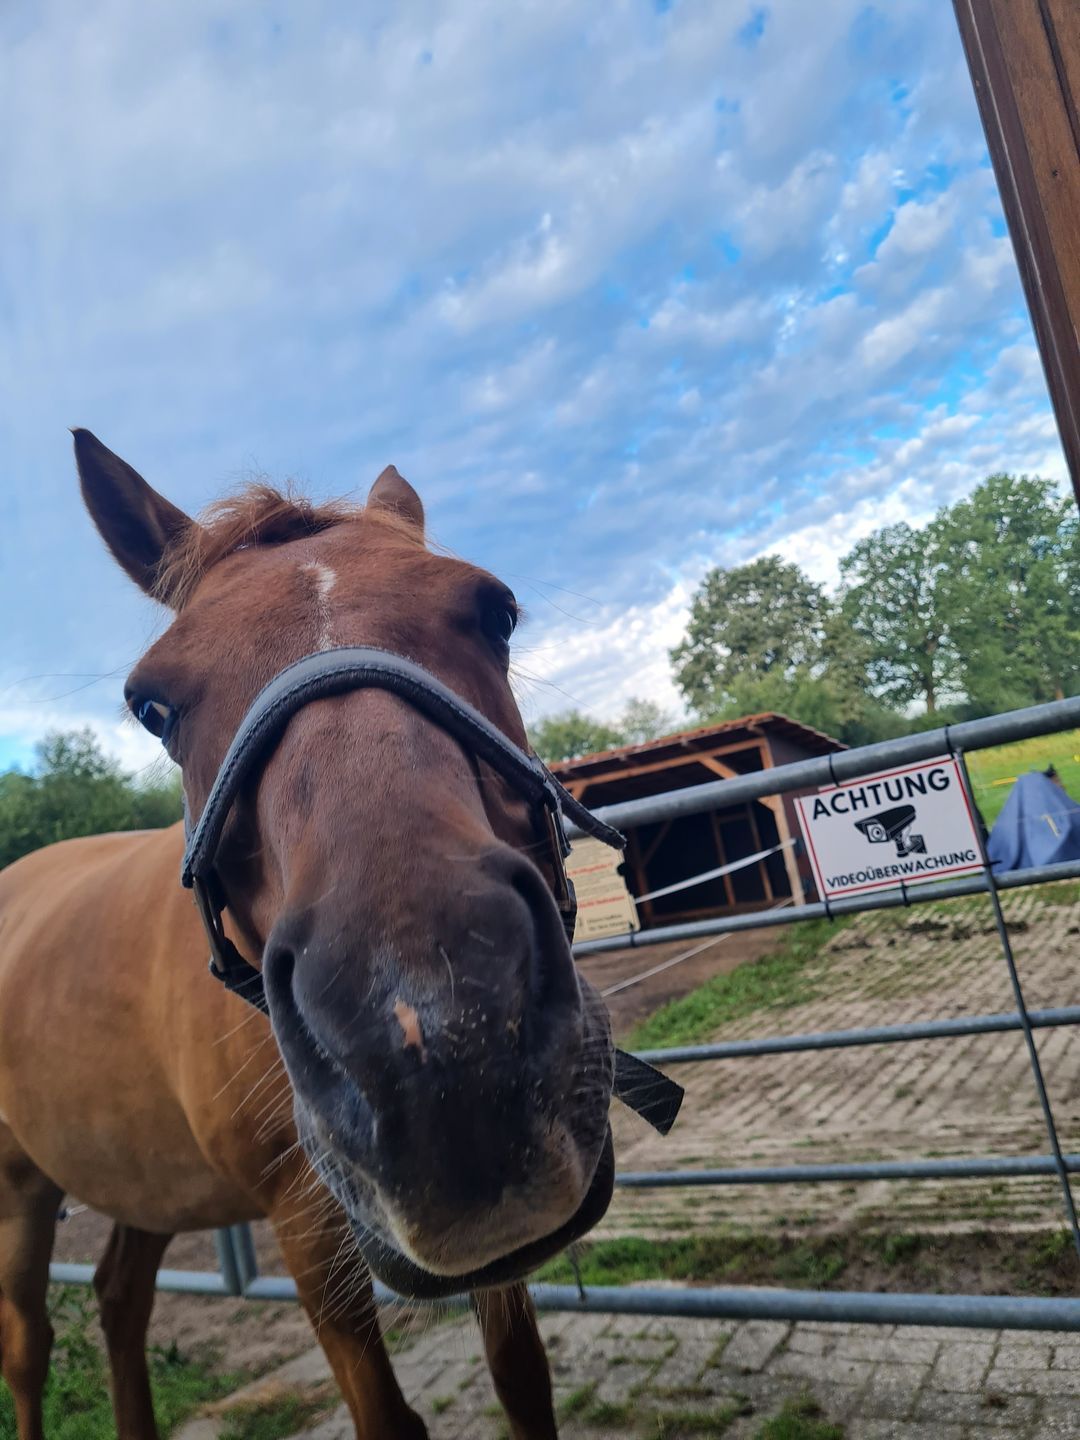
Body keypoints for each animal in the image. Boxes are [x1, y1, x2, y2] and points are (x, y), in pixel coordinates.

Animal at [0, 430, 620, 1440]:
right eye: (151, 706)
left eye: (496, 613)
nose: (442, 1035)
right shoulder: (307, 1227)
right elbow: (387, 1419)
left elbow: (522, 1379)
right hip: (19, 1191)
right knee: (27, 1343)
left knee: (119, 1299)